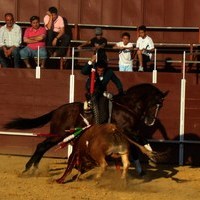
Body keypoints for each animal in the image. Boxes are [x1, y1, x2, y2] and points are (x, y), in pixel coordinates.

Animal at [3, 83, 169, 173]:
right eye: (157, 103)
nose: (150, 122)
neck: (127, 106)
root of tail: (57, 110)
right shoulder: (129, 131)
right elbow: (143, 141)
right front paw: (154, 157)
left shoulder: (130, 133)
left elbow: (139, 146)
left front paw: (149, 162)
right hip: (59, 134)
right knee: (41, 146)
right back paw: (29, 168)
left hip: (61, 135)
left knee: (42, 147)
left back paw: (31, 168)